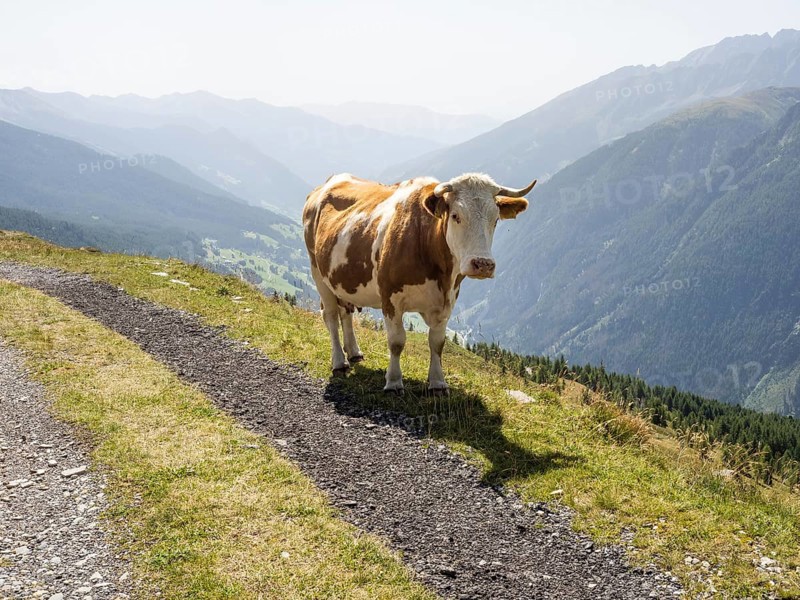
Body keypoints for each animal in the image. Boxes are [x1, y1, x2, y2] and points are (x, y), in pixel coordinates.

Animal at [302, 172, 535, 393]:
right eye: (455, 216)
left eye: (495, 220)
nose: (483, 264)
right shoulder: (390, 298)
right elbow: (396, 341)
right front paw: (394, 382)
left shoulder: (447, 301)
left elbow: (437, 343)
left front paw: (438, 383)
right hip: (318, 272)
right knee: (331, 316)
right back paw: (339, 362)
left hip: (341, 281)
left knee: (346, 312)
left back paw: (354, 352)